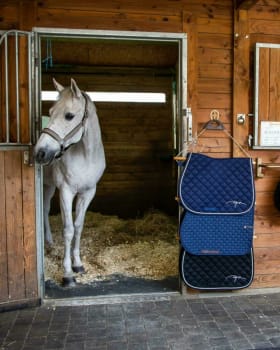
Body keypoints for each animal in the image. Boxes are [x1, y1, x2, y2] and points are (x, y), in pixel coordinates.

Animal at [34, 78, 105, 288]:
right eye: (50, 112)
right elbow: (68, 230)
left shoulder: (88, 193)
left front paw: (78, 265)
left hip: (49, 186)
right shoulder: (66, 191)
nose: (39, 153)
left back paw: (49, 241)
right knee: (45, 210)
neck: (86, 155)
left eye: (69, 116)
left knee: (46, 208)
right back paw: (48, 242)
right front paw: (67, 273)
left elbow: (79, 226)